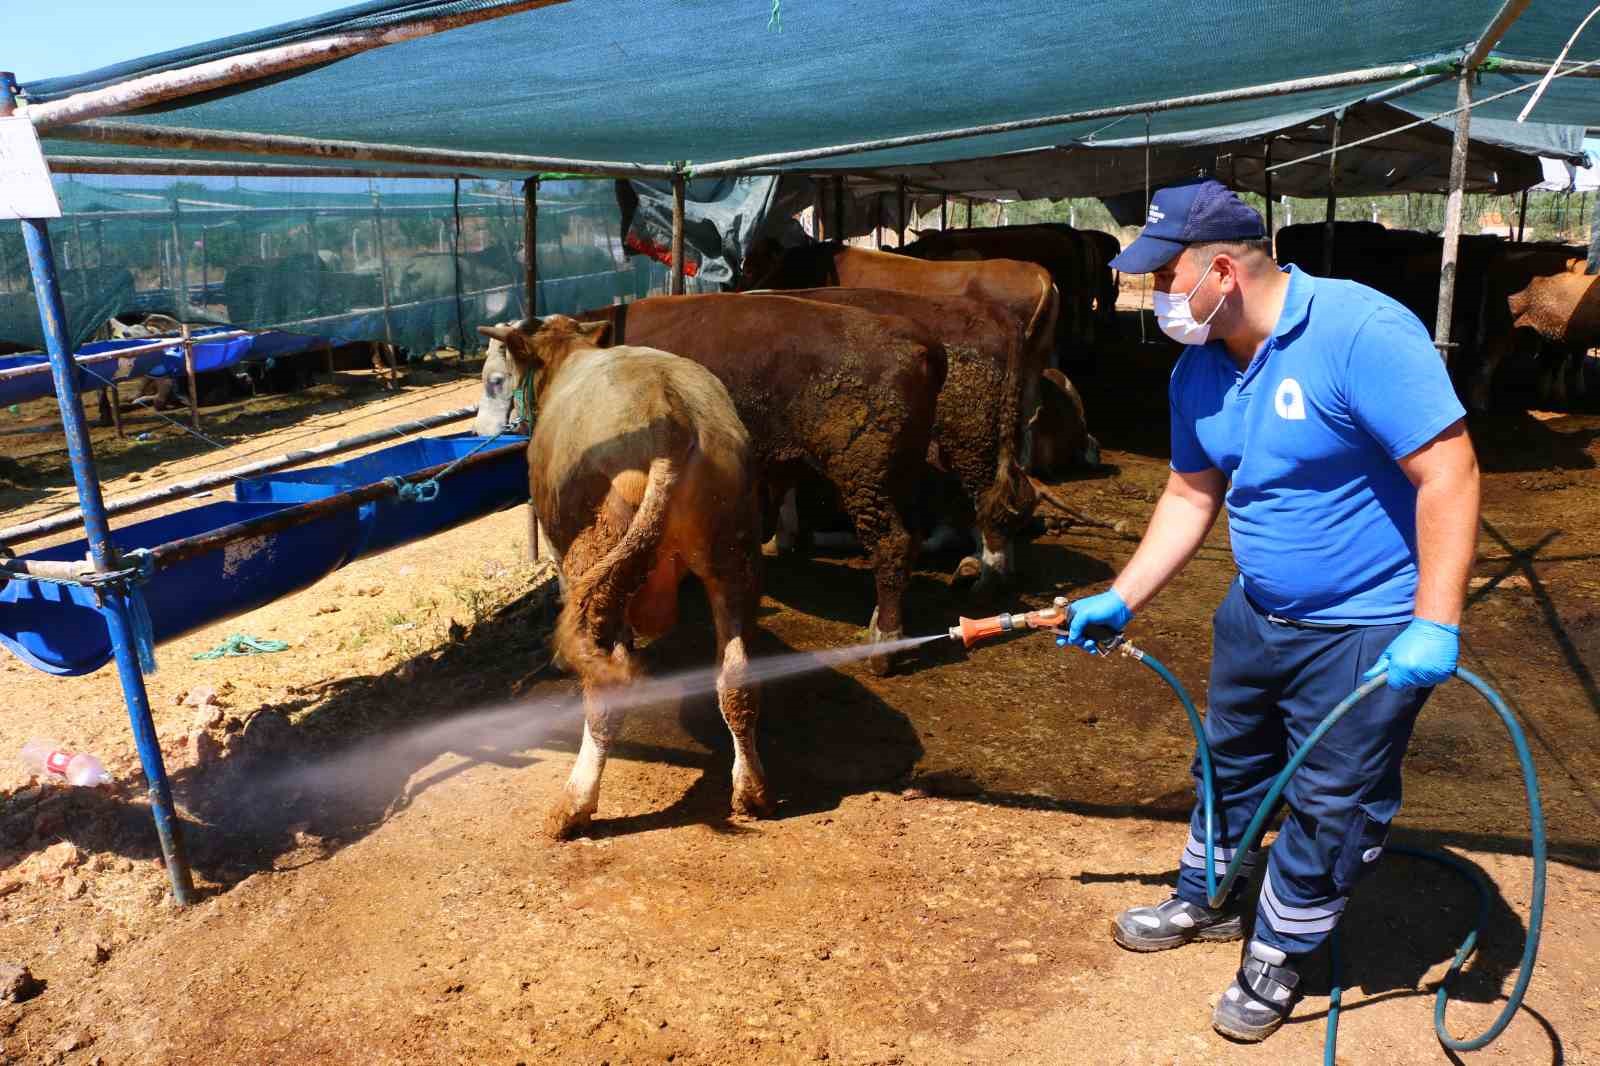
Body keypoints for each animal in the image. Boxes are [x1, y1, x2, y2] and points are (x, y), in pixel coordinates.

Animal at [473, 315, 768, 838]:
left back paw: (573, 804)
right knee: (737, 676)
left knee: (607, 686)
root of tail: (672, 419)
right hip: (732, 551)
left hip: (599, 548)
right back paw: (750, 790)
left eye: (494, 378)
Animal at [480, 292, 940, 672]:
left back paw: (885, 644)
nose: (484, 430)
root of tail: (916, 341)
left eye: (495, 379)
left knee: (891, 545)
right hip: (901, 476)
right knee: (913, 538)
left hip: (866, 478)